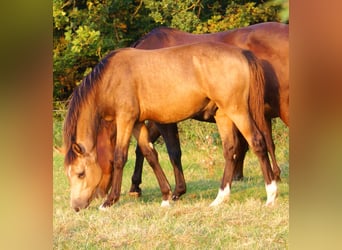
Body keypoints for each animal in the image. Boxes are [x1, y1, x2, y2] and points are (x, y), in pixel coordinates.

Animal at [63, 42, 278, 211]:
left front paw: (109, 201)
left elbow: (119, 157)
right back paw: (220, 198)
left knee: (257, 142)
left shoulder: (125, 119)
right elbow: (150, 155)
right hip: (222, 114)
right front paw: (166, 196)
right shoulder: (137, 123)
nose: (76, 207)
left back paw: (271, 194)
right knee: (230, 150)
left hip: (237, 110)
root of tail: (242, 53)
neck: (110, 78)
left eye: (81, 173)